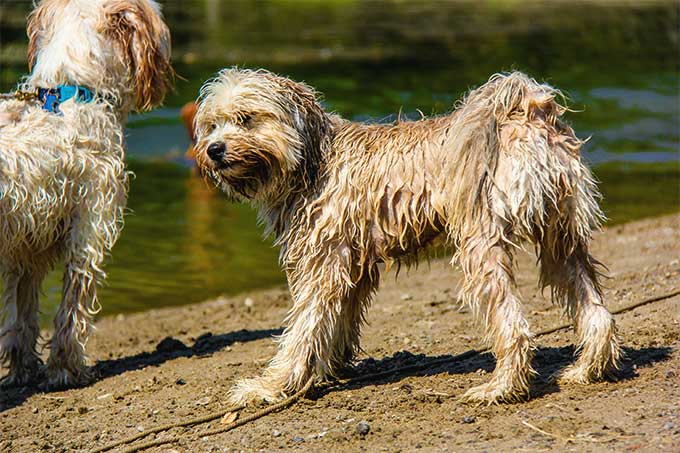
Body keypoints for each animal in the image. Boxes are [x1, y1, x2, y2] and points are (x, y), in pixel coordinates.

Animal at [0, 0, 173, 388]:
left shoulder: (26, 248)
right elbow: (72, 307)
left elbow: (21, 318)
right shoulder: (89, 229)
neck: (72, 91)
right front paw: (66, 369)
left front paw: (23, 371)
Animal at [193, 68, 620, 406]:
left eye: (246, 119)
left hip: (481, 244)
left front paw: (271, 386)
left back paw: (501, 388)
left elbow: (303, 328)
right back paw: (586, 369)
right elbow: (338, 321)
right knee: (595, 308)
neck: (314, 159)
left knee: (513, 326)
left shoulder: (323, 264)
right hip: (561, 235)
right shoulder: (354, 264)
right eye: (212, 124)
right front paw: (330, 367)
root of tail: (524, 114)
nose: (213, 149)